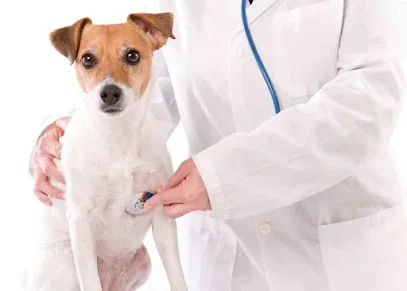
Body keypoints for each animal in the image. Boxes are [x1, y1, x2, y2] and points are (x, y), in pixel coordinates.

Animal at [22, 12, 188, 291]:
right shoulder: (80, 221)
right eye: (87, 59)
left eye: (132, 55)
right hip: (68, 263)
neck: (118, 136)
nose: (109, 92)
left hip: (143, 262)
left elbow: (177, 276)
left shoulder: (162, 216)